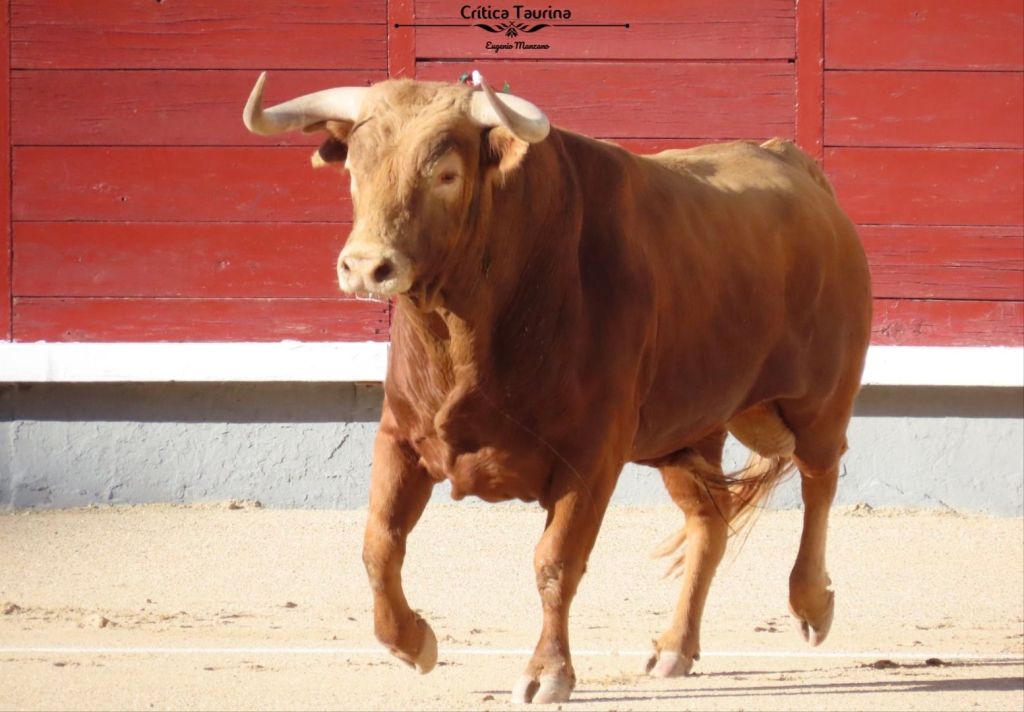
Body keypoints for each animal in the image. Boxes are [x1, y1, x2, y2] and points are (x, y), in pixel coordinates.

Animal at [242, 71, 872, 704]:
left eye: (446, 174)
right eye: (355, 168)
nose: (366, 266)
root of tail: (793, 162)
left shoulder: (591, 457)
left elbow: (556, 563)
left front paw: (547, 673)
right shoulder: (401, 435)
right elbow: (379, 544)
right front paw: (413, 643)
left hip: (818, 402)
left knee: (821, 479)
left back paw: (811, 605)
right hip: (691, 432)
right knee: (709, 522)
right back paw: (675, 648)